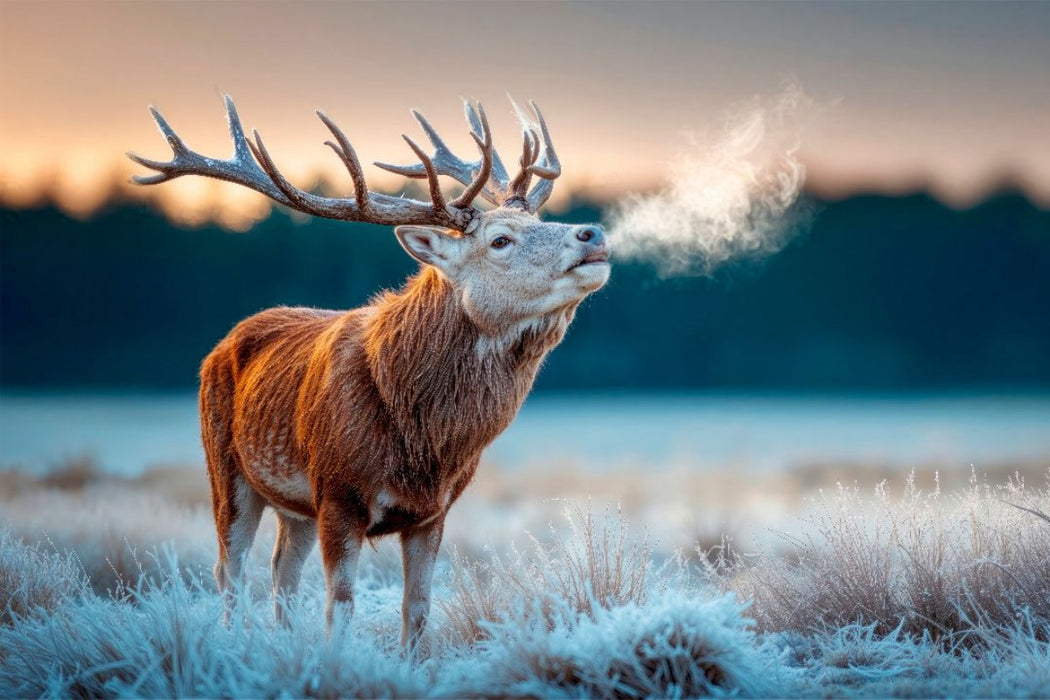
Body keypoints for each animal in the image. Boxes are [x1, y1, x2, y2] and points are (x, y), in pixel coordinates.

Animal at [128, 95, 610, 651]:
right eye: (501, 240)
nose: (593, 233)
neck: (423, 445)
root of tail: (221, 344)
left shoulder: (434, 510)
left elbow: (417, 606)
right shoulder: (339, 492)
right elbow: (340, 603)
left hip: (295, 503)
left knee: (281, 569)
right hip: (224, 465)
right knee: (229, 567)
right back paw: (232, 642)